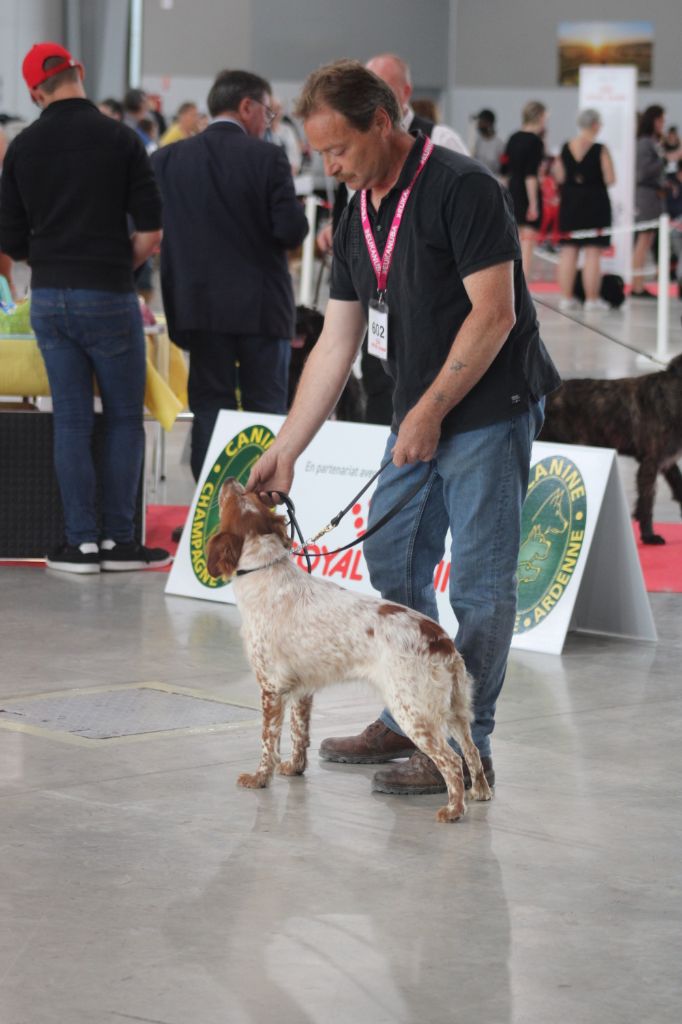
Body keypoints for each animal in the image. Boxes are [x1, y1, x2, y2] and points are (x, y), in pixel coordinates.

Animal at [206, 478, 492, 823]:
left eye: (231, 498)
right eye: (247, 495)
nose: (229, 481)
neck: (266, 570)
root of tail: (439, 638)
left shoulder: (271, 688)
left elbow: (268, 741)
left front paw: (260, 778)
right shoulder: (302, 689)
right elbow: (299, 734)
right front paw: (295, 768)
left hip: (413, 711)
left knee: (450, 760)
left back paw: (453, 809)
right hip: (457, 709)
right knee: (472, 750)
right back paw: (480, 792)